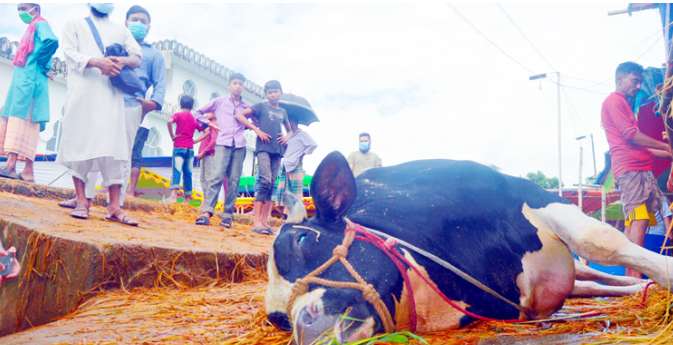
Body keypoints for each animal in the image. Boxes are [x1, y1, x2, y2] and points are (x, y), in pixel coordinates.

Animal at [262, 153, 668, 344]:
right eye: (278, 320)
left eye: (301, 240)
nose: (305, 326)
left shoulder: (526, 192)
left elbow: (599, 240)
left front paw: (668, 275)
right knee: (592, 284)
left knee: (596, 270)